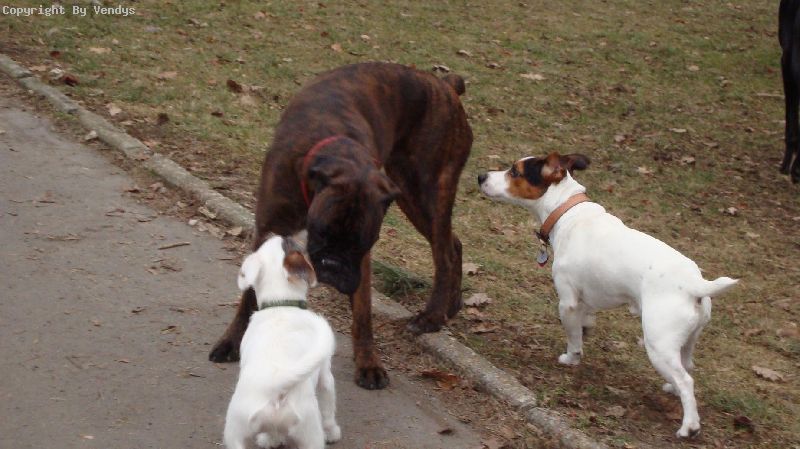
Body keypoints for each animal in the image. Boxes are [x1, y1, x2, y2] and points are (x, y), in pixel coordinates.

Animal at [209, 62, 473, 390]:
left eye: (361, 244)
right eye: (321, 233)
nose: (334, 266)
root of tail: (446, 85)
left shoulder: (362, 260)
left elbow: (363, 310)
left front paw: (369, 362)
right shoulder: (266, 231)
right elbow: (248, 297)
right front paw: (231, 342)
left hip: (427, 191)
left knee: (444, 252)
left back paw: (432, 316)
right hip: (411, 194)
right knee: (453, 244)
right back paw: (450, 307)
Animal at [223, 235, 340, 449]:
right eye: (290, 243)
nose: (281, 233)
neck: (280, 303)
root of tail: (274, 384)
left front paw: (270, 440)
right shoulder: (326, 375)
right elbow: (329, 407)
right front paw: (333, 432)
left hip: (236, 436)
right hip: (310, 433)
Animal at [479, 152, 738, 438]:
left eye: (515, 171)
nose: (480, 176)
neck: (566, 210)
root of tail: (695, 284)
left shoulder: (567, 302)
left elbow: (573, 337)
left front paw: (571, 358)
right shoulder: (586, 300)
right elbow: (585, 321)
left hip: (658, 344)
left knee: (686, 380)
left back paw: (689, 426)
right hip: (687, 340)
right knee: (686, 366)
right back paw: (672, 389)